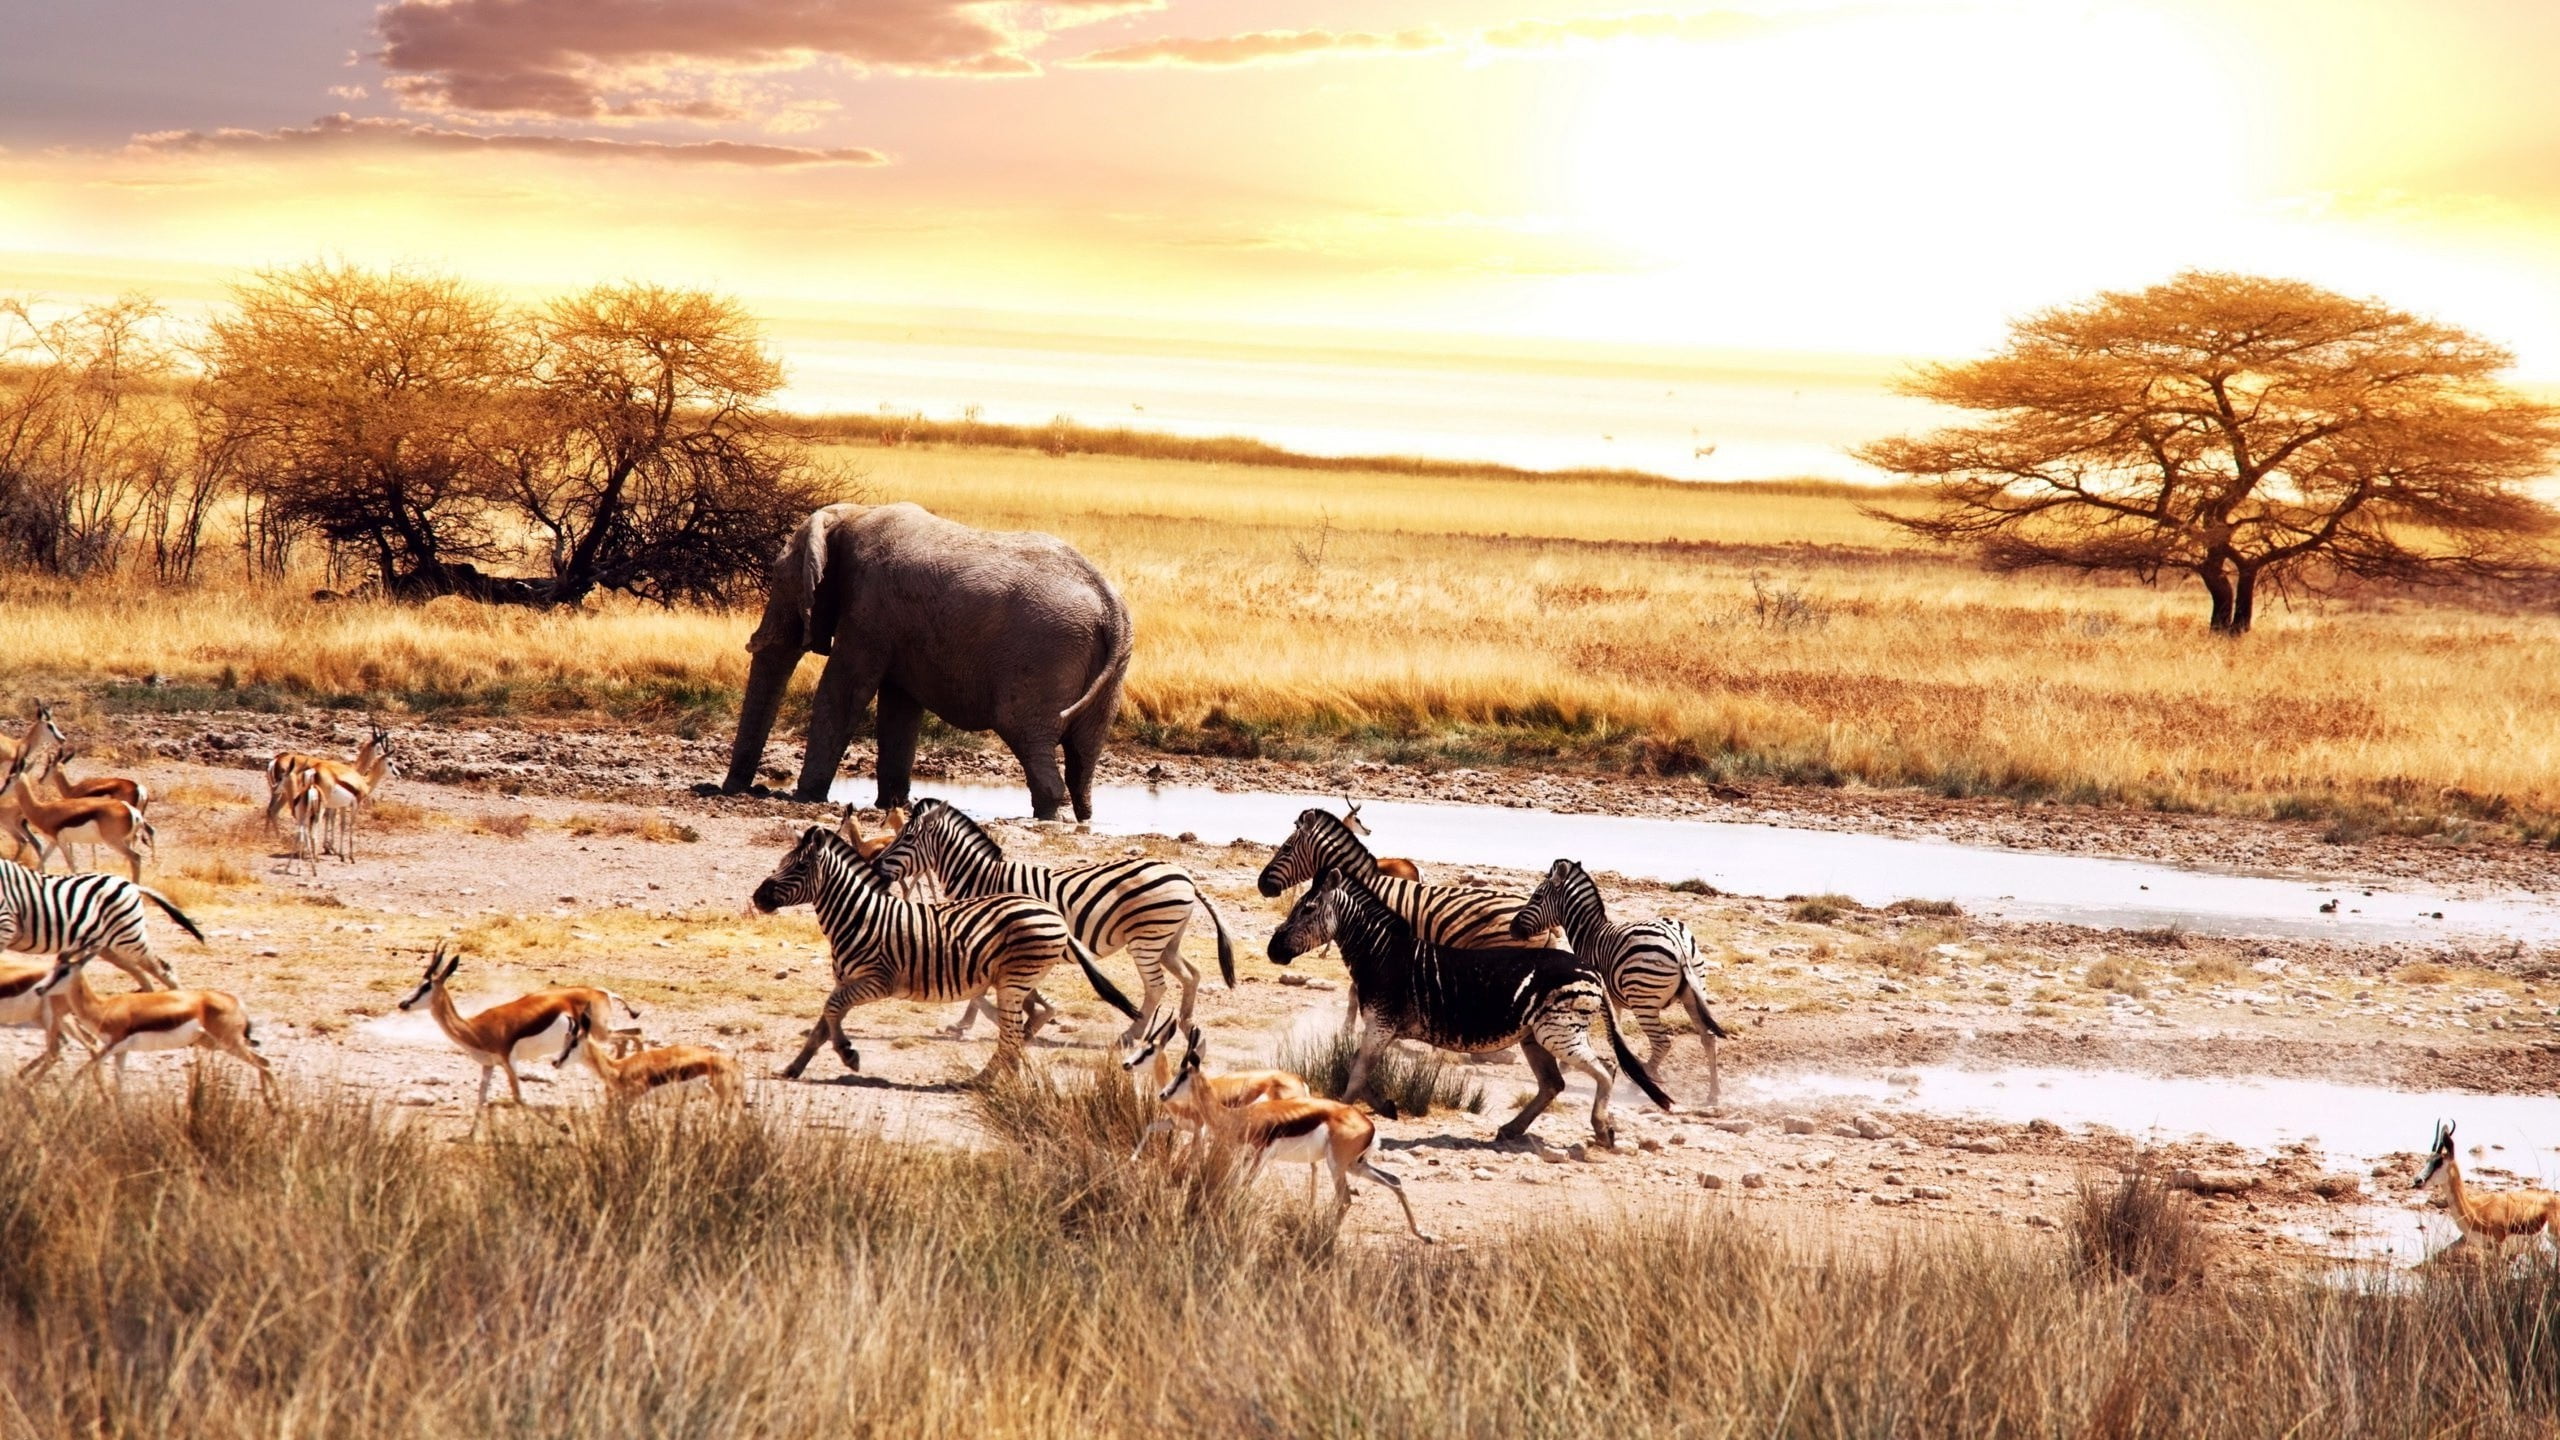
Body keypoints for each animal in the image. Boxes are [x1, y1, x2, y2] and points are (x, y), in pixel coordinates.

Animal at [721, 502, 1134, 822]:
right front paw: (891, 804)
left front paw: (805, 797)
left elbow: (844, 691)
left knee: (1025, 731)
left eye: (778, 580)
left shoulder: (869, 609)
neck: (851, 515)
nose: (736, 791)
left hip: (1045, 655)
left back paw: (1051, 816)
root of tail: (1110, 606)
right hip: (1110, 667)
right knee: (1084, 753)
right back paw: (1080, 818)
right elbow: (899, 707)